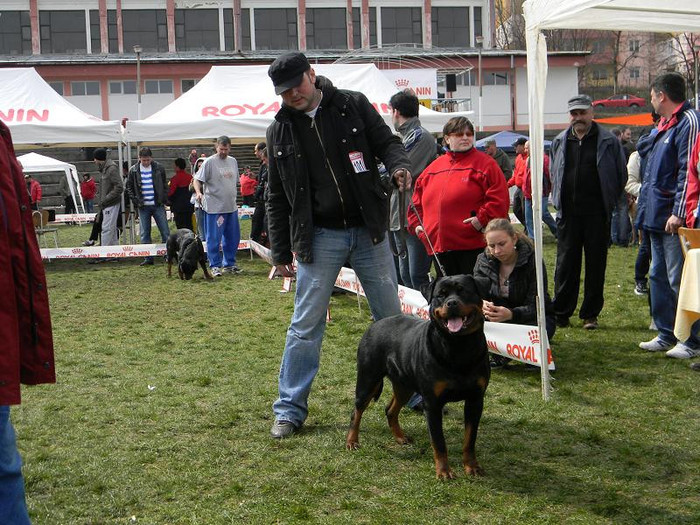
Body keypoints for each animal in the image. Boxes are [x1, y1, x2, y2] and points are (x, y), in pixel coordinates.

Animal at [346, 274, 490, 478]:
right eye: (441, 295)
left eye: (464, 291)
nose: (452, 303)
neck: (458, 346)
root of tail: (373, 325)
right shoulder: (432, 403)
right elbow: (439, 441)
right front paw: (444, 472)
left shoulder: (475, 400)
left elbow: (470, 439)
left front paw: (472, 466)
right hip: (368, 379)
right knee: (356, 411)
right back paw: (352, 441)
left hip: (404, 386)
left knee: (390, 410)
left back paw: (400, 437)